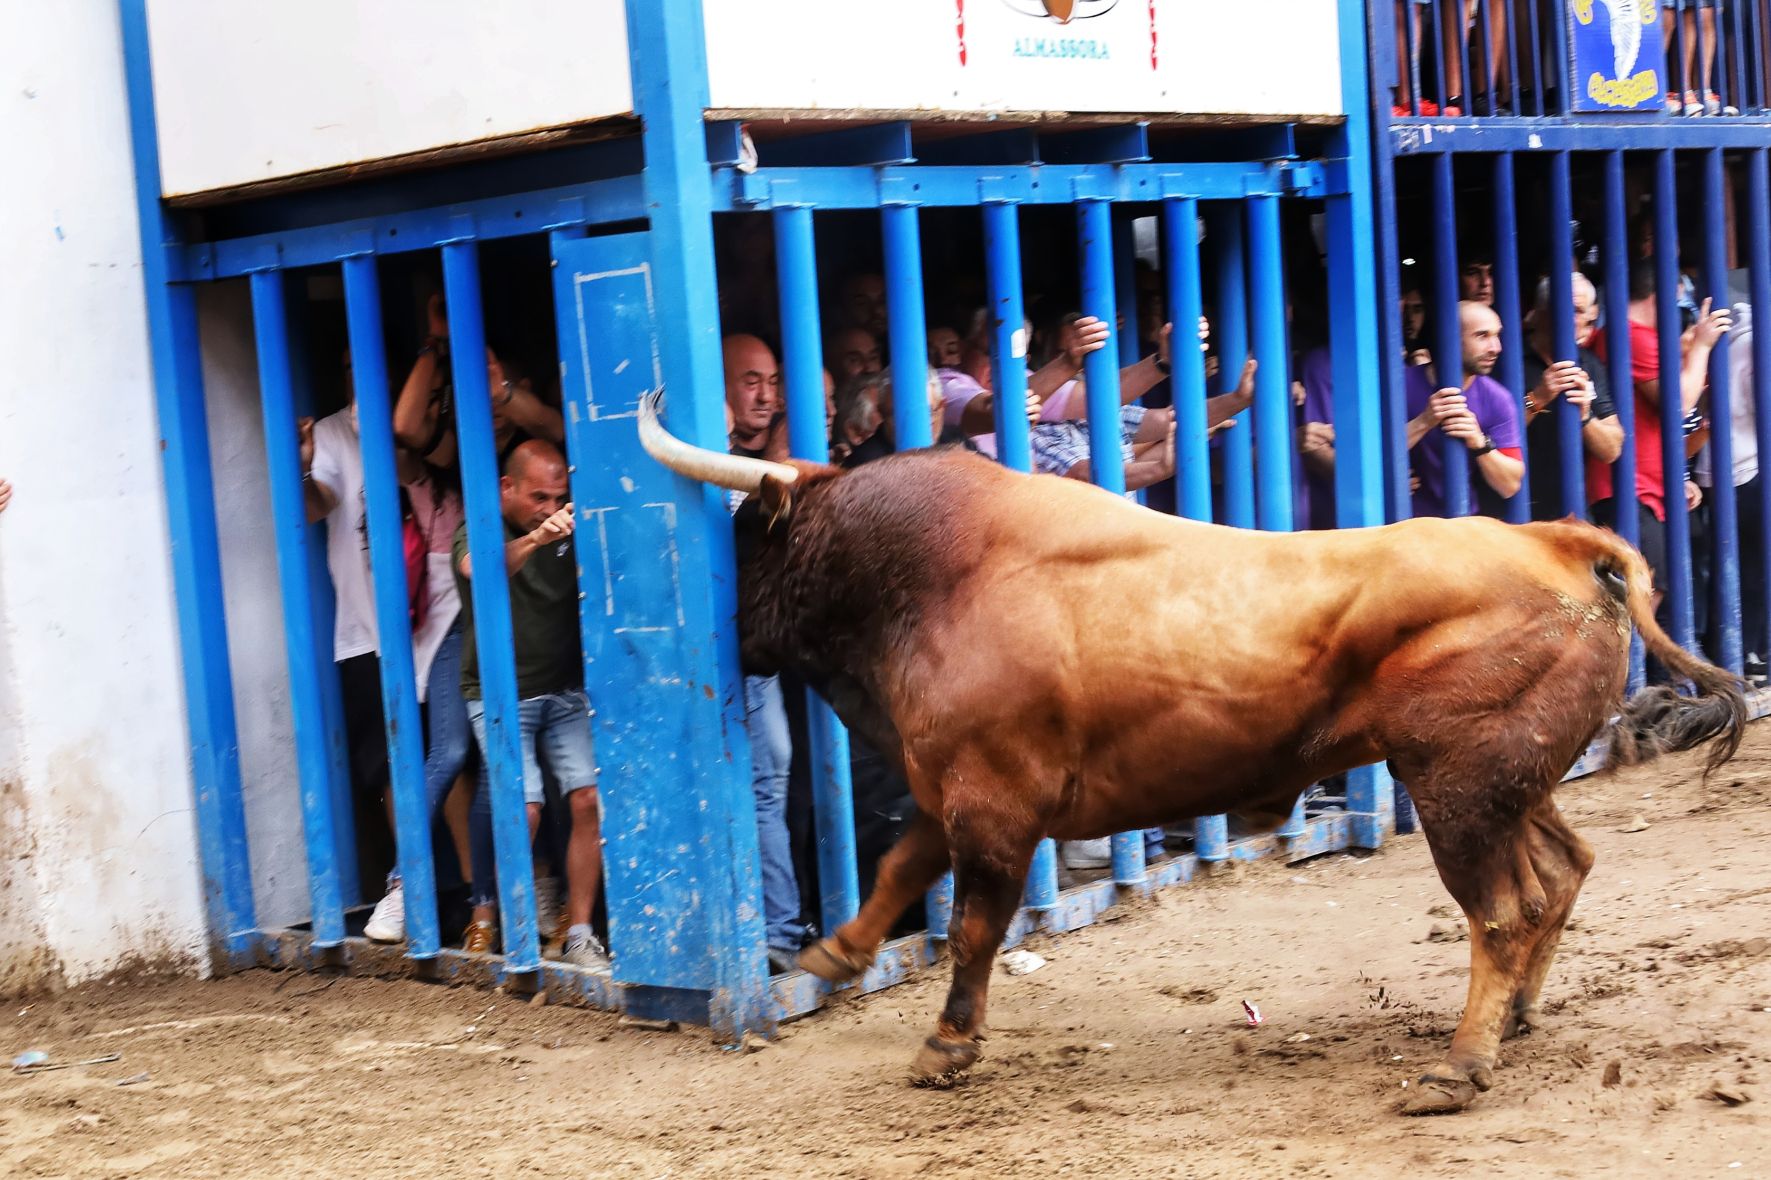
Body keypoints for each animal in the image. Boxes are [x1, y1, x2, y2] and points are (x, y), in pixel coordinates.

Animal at [637, 396, 1742, 1112]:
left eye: (749, 538)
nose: (722, 639)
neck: (944, 572)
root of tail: (1559, 546)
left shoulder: (993, 801)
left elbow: (971, 925)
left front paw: (946, 1044)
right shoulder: (949, 786)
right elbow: (906, 862)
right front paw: (838, 950)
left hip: (1458, 789)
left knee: (1504, 909)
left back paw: (1458, 1064)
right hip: (1508, 783)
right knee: (1564, 870)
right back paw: (1512, 1021)